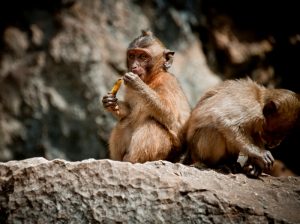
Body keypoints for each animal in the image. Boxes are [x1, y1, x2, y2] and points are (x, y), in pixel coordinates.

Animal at [101, 30, 190, 163]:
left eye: (143, 57)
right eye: (132, 56)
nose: (134, 66)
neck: (151, 79)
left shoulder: (167, 82)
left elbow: (170, 116)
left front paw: (137, 83)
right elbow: (129, 110)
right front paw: (110, 102)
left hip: (168, 154)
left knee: (152, 122)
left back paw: (132, 160)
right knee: (124, 122)